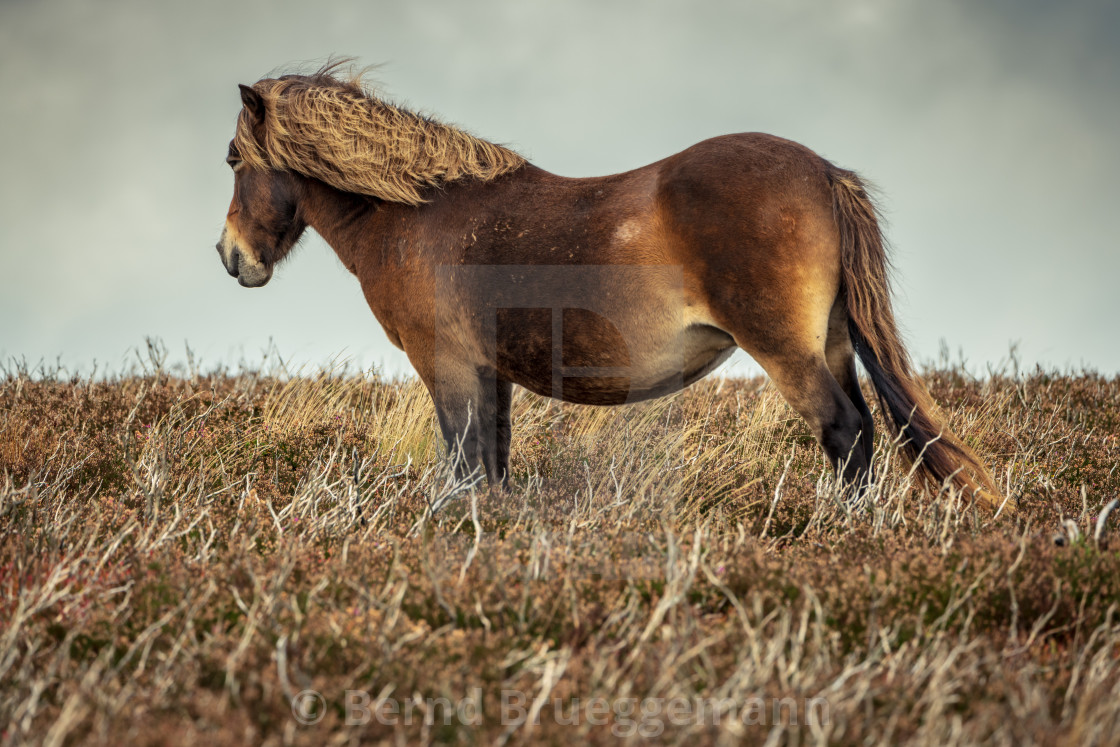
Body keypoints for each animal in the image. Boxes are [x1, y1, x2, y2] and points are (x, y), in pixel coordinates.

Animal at [213, 64, 1003, 506]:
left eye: (232, 158)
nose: (231, 256)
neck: (418, 209)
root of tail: (821, 170)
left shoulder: (448, 366)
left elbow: (463, 466)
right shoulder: (489, 374)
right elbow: (492, 465)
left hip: (789, 351)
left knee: (844, 429)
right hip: (832, 343)